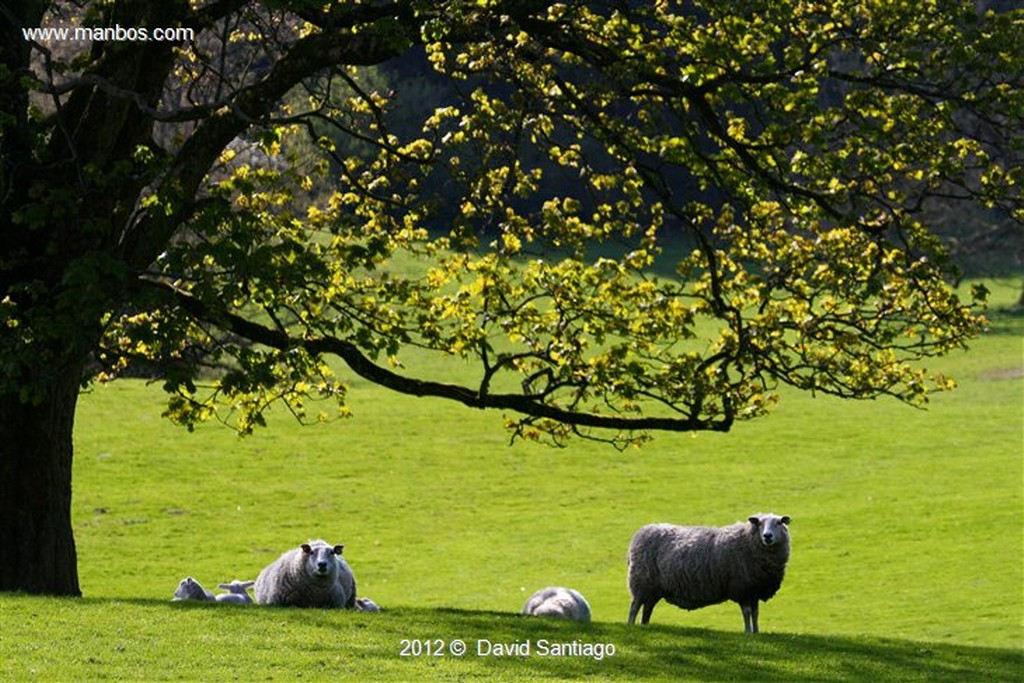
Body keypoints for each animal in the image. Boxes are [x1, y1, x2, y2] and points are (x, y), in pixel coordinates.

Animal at [622, 509, 790, 634]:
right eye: (760, 523)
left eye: (779, 523)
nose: (767, 536)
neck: (747, 540)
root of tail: (641, 533)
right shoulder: (742, 588)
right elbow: (747, 612)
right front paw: (748, 632)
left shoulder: (754, 590)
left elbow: (755, 613)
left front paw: (756, 632)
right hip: (641, 581)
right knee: (634, 606)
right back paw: (630, 625)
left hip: (653, 589)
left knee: (647, 608)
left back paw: (644, 626)